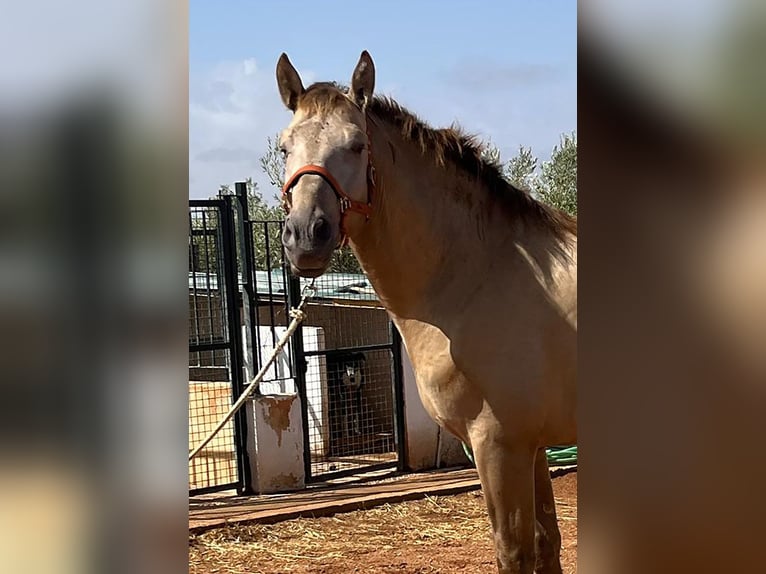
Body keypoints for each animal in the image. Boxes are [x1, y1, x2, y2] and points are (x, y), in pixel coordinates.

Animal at [274, 50, 576, 574]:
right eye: (284, 147)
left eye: (357, 145)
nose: (306, 236)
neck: (476, 276)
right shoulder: (533, 446)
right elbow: (547, 543)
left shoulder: (500, 446)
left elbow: (515, 552)